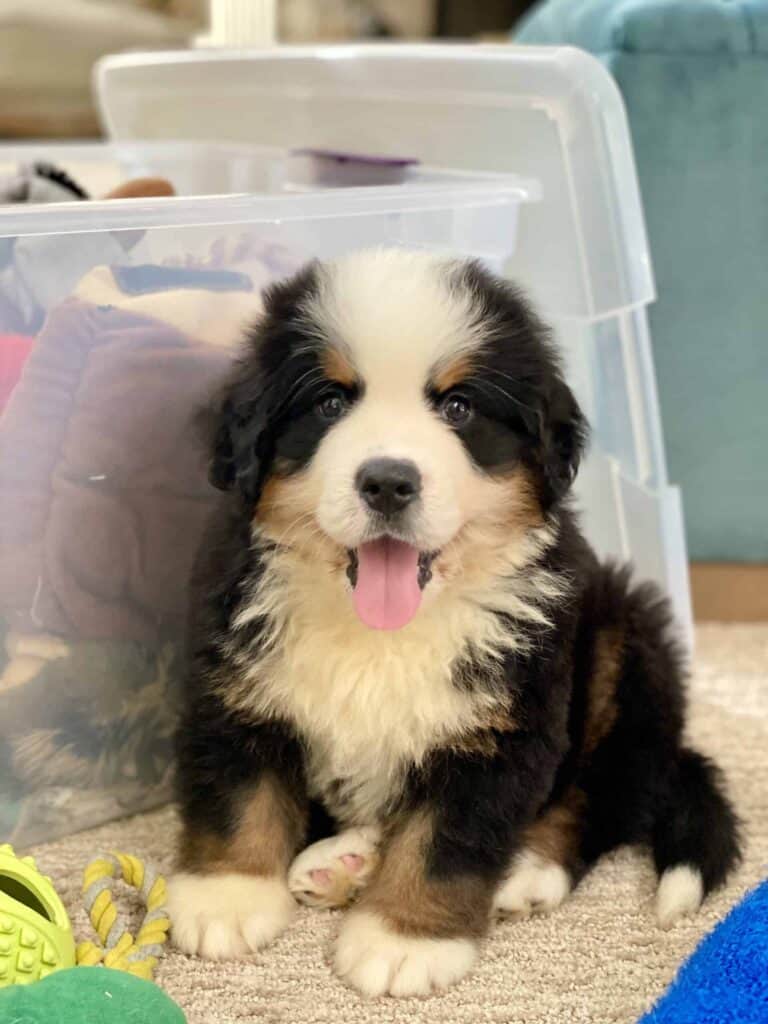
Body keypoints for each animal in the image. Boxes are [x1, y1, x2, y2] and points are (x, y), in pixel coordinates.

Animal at [167, 251, 741, 995]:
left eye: (458, 407)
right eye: (329, 402)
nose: (387, 481)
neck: (380, 631)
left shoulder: (502, 726)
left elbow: (446, 838)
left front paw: (404, 941)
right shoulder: (237, 681)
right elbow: (239, 792)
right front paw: (227, 898)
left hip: (624, 644)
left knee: (605, 794)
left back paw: (526, 870)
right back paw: (343, 860)